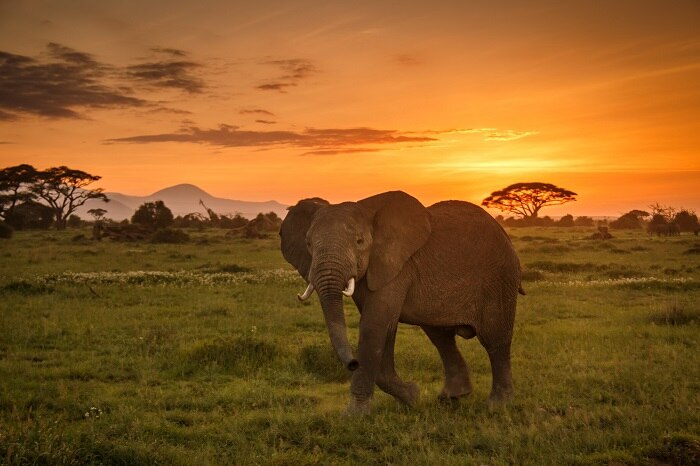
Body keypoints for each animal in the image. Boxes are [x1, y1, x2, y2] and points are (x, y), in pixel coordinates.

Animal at [282, 190, 524, 416]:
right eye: (308, 244)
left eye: (360, 242)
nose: (352, 363)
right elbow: (383, 327)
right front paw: (412, 397)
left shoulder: (397, 266)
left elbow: (374, 324)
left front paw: (353, 415)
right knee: (441, 338)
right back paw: (452, 397)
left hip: (499, 278)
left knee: (495, 339)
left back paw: (498, 405)